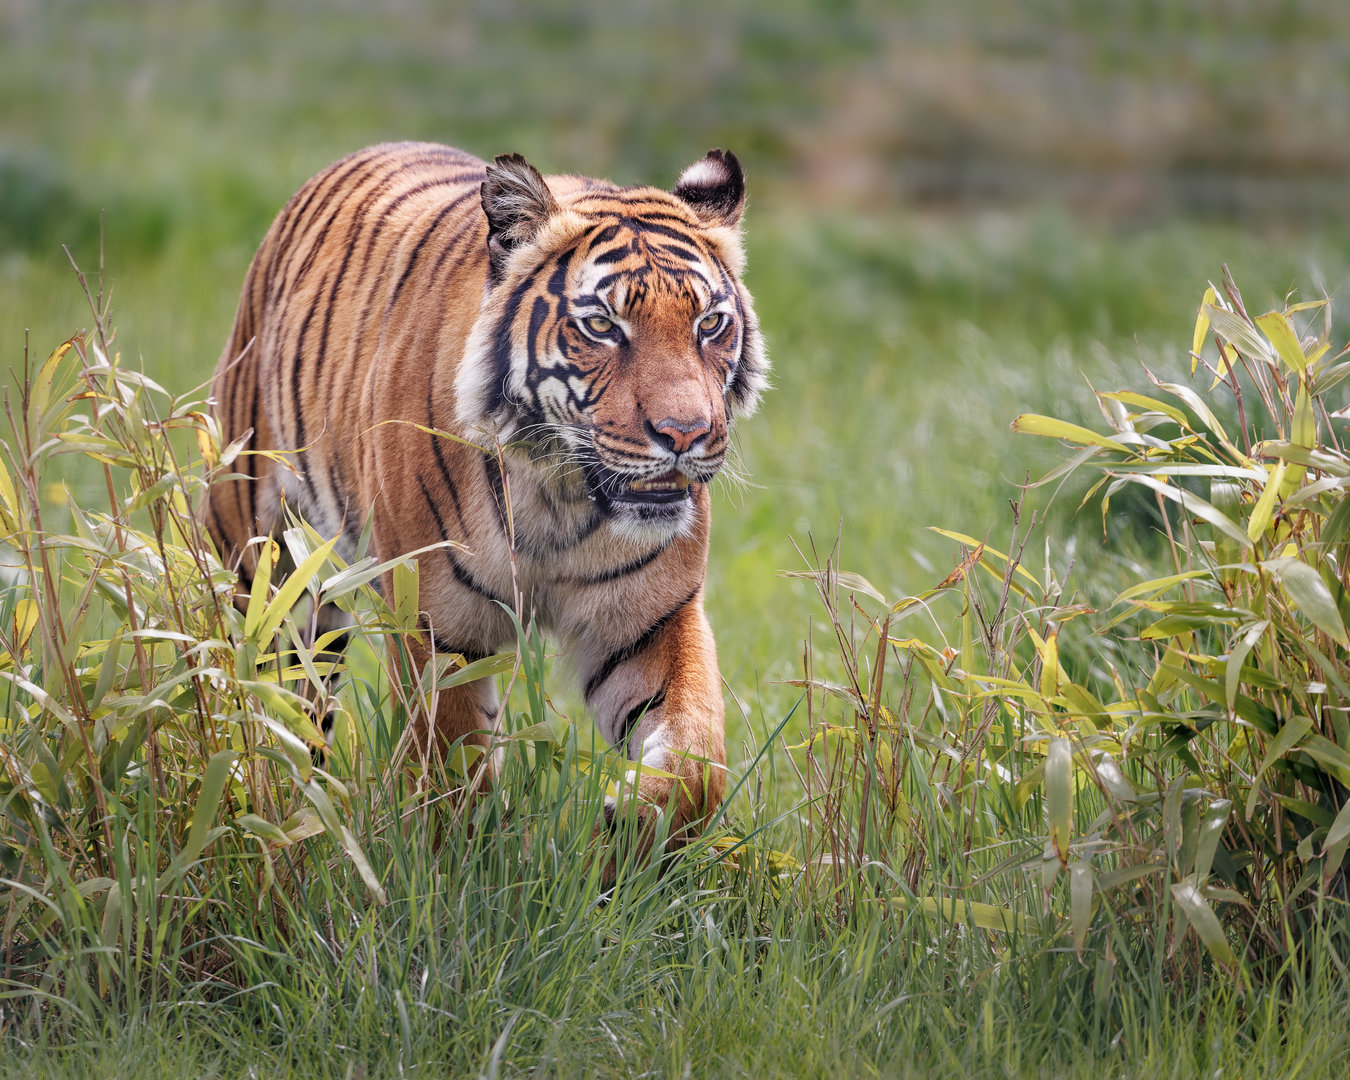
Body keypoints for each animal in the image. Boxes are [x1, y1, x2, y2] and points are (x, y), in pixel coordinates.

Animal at [204, 141, 767, 853]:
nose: (686, 434)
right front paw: (458, 863)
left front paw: (628, 827)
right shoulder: (436, 623)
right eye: (602, 325)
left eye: (710, 323)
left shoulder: (652, 617)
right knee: (263, 696)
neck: (561, 491)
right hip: (266, 563)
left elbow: (697, 757)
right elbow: (453, 769)